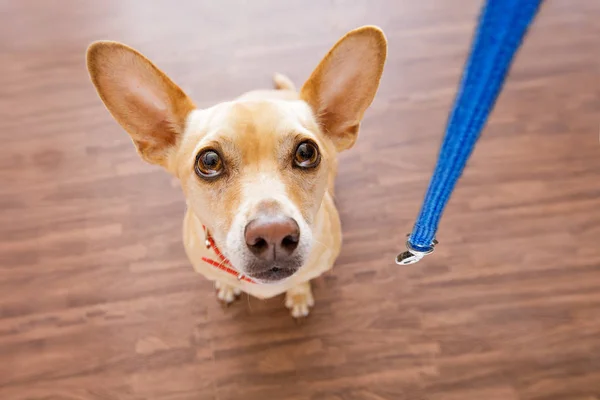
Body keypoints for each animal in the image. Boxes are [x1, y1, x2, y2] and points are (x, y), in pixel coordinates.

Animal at [86, 26, 390, 318]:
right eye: (209, 161)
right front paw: (227, 285)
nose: (273, 233)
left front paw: (299, 295)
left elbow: (302, 279)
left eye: (306, 153)